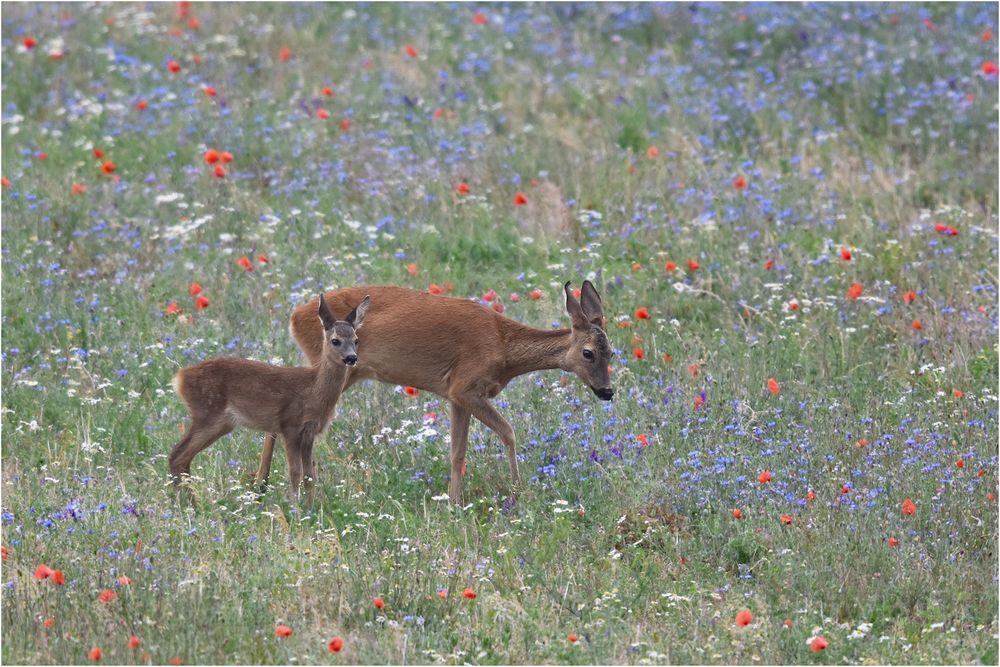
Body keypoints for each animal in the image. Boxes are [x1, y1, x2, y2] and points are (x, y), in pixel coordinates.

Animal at [172, 292, 372, 496]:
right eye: (335, 340)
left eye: (356, 340)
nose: (351, 358)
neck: (313, 391)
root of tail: (180, 377)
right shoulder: (289, 425)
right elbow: (295, 472)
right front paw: (295, 504)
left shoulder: (310, 432)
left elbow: (309, 476)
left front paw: (311, 504)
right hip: (207, 413)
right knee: (177, 454)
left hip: (221, 423)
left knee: (182, 457)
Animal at [254, 280, 612, 504]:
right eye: (588, 353)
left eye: (612, 352)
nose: (607, 392)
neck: (504, 348)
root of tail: (295, 316)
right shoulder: (465, 386)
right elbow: (508, 433)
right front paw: (517, 492)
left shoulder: (456, 395)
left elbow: (457, 452)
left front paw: (453, 501)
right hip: (334, 365)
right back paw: (263, 484)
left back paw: (261, 485)